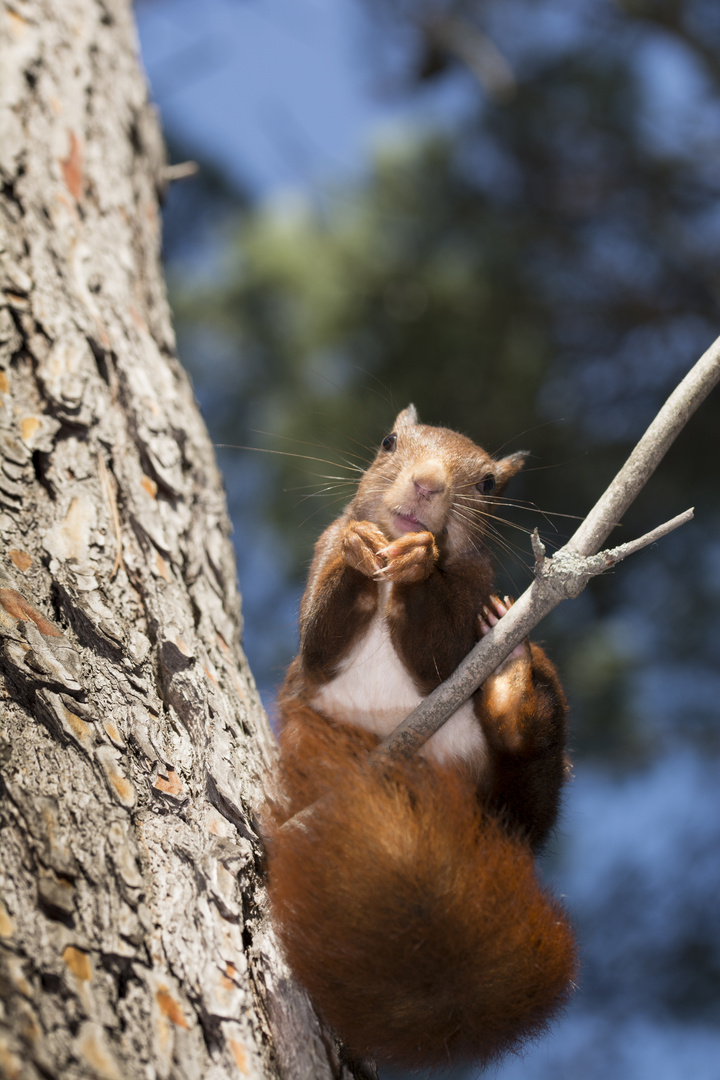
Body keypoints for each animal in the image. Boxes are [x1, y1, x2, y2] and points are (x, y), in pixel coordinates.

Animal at [263, 406, 574, 1071]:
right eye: (388, 442)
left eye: (489, 484)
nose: (429, 483)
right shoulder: (320, 563)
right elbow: (319, 637)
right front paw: (361, 549)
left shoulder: (471, 591)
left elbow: (437, 654)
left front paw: (417, 558)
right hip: (309, 740)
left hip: (532, 771)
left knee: (529, 764)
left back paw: (513, 687)